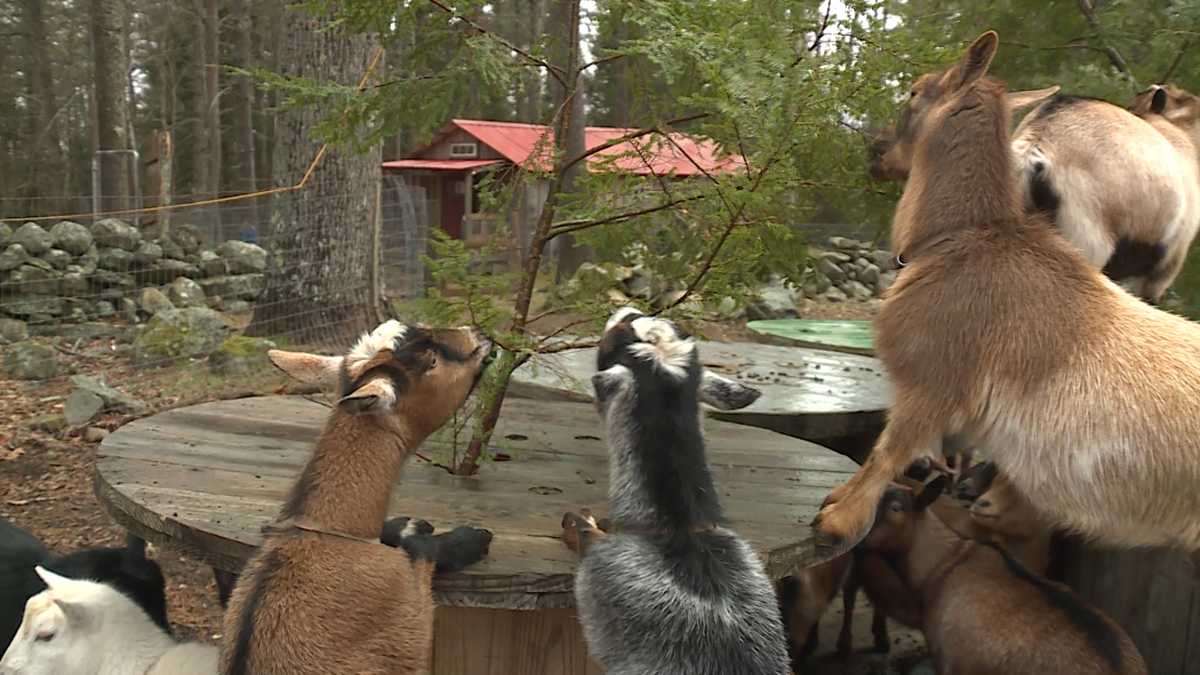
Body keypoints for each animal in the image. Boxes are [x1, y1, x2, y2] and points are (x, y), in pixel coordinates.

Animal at [219, 320, 496, 675]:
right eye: (431, 360)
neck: (333, 531)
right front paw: (467, 539)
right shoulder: (411, 625)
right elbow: (422, 552)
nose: (479, 334)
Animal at [812, 31, 1200, 562]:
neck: (967, 238)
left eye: (915, 91)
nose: (877, 150)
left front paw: (838, 518)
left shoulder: (934, 382)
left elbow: (891, 447)